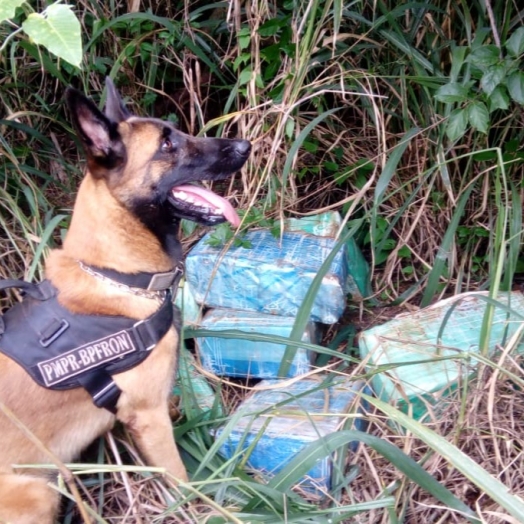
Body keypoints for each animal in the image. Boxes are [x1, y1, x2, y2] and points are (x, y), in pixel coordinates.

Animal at [0, 79, 252, 524]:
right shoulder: (149, 418)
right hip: (36, 491)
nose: (246, 145)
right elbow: (182, 479)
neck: (120, 276)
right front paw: (204, 506)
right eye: (167, 145)